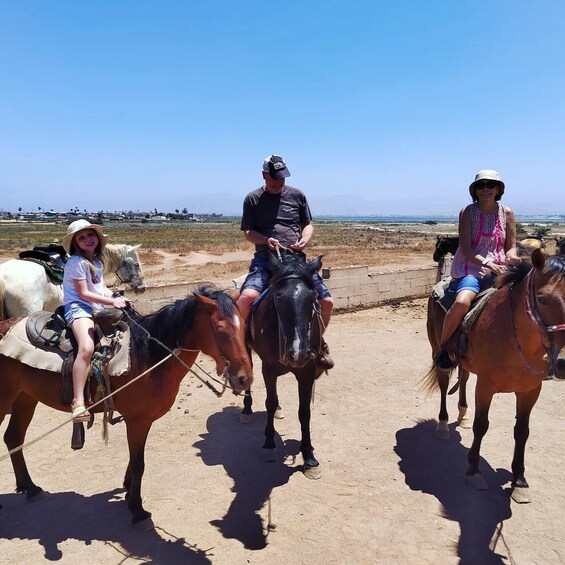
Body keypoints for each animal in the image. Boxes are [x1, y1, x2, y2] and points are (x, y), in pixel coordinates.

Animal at [0, 286, 252, 528]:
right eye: (220, 330)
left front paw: (128, 489)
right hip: (6, 401)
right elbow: (139, 463)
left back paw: (31, 488)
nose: (244, 379)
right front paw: (137, 510)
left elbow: (134, 460)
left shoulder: (142, 421)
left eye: (243, 326)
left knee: (13, 437)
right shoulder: (137, 421)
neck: (147, 357)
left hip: (25, 398)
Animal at [239, 253, 326, 478]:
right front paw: (269, 445)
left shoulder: (307, 371)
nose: (298, 353)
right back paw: (246, 411)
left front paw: (309, 456)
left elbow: (304, 411)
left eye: (313, 298)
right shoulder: (268, 369)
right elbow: (269, 403)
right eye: (278, 298)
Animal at [426, 249, 564, 500]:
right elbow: (482, 426)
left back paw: (463, 415)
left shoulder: (530, 391)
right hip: (437, 350)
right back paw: (442, 426)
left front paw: (519, 481)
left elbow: (522, 431)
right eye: (541, 299)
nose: (563, 363)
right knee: (443, 384)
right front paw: (474, 472)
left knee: (463, 379)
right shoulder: (486, 386)